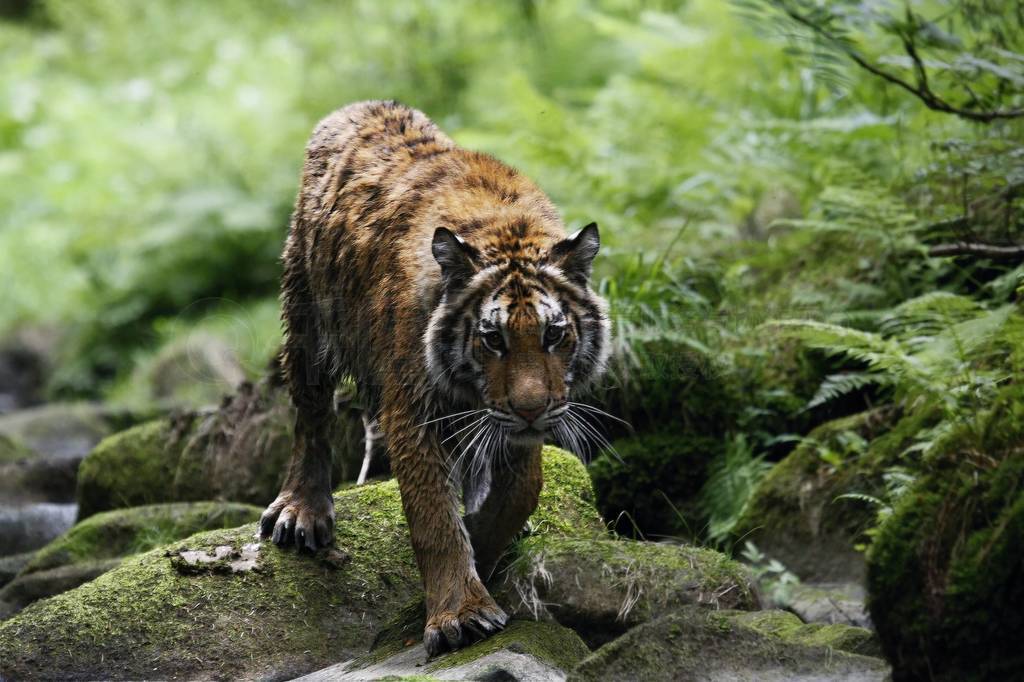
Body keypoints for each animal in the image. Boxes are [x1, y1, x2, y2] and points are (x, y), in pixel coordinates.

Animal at [260, 100, 610, 655]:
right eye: (493, 339)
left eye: (554, 335)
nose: (531, 410)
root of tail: (362, 105)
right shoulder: (412, 410)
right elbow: (434, 519)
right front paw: (460, 614)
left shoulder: (513, 420)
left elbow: (519, 490)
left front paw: (485, 548)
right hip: (307, 318)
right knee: (311, 417)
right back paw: (301, 511)